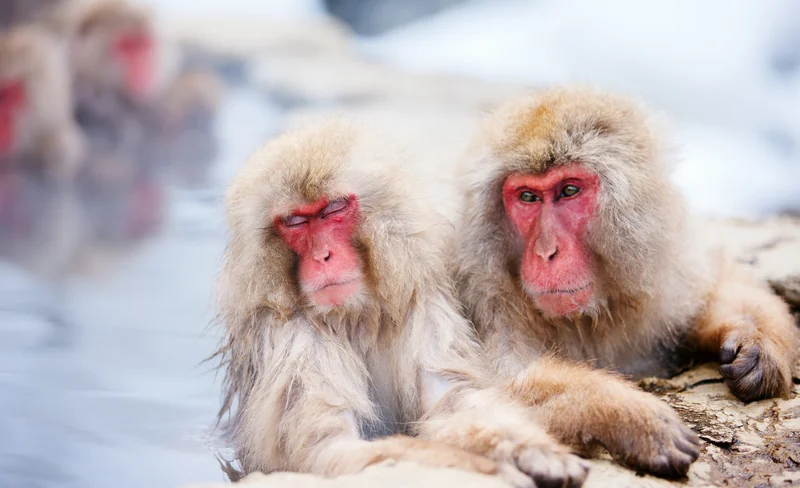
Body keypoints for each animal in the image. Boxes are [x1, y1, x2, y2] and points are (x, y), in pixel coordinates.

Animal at [213, 119, 591, 488]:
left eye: (333, 209)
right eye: (295, 221)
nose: (323, 257)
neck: (352, 315)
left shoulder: (421, 301)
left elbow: (453, 400)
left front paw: (531, 450)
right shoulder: (292, 338)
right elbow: (327, 450)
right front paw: (493, 470)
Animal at [451, 86, 799, 473]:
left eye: (569, 190)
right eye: (528, 196)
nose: (545, 251)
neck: (586, 318)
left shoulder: (664, 269)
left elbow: (715, 282)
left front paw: (757, 341)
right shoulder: (483, 297)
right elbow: (477, 392)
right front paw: (628, 417)